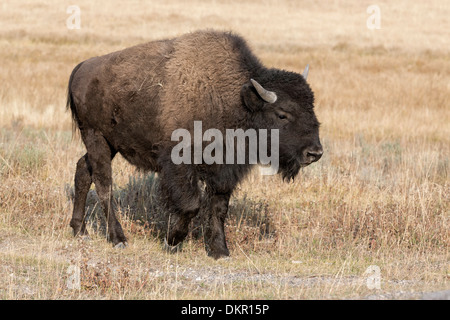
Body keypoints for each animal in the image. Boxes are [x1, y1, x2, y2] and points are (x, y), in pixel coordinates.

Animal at [67, 29, 322, 260]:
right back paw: (118, 238)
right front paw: (172, 241)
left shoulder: (223, 172)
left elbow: (218, 208)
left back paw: (80, 230)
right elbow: (192, 204)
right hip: (97, 138)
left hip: (108, 145)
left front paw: (220, 251)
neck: (232, 99)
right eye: (282, 114)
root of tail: (81, 68)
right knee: (104, 183)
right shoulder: (179, 164)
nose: (315, 152)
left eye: (312, 107)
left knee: (83, 170)